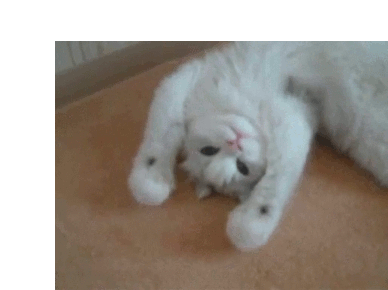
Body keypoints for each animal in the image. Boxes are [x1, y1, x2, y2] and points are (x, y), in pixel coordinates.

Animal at [128, 41, 388, 251]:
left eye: (208, 150)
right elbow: (273, 187)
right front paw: (253, 222)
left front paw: (151, 181)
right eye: (241, 167)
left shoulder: (185, 78)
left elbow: (159, 137)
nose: (236, 143)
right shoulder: (292, 122)